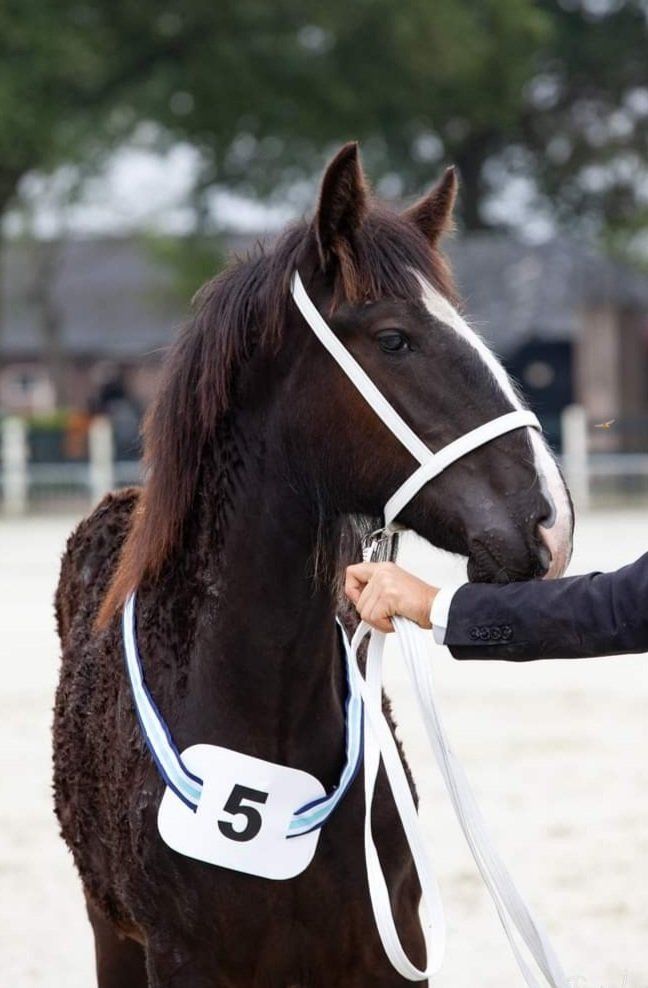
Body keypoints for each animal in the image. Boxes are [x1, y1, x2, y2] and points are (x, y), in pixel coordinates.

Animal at [53, 142, 573, 987]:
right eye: (394, 338)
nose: (552, 519)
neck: (262, 714)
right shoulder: (179, 960)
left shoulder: (391, 951)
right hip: (111, 937)